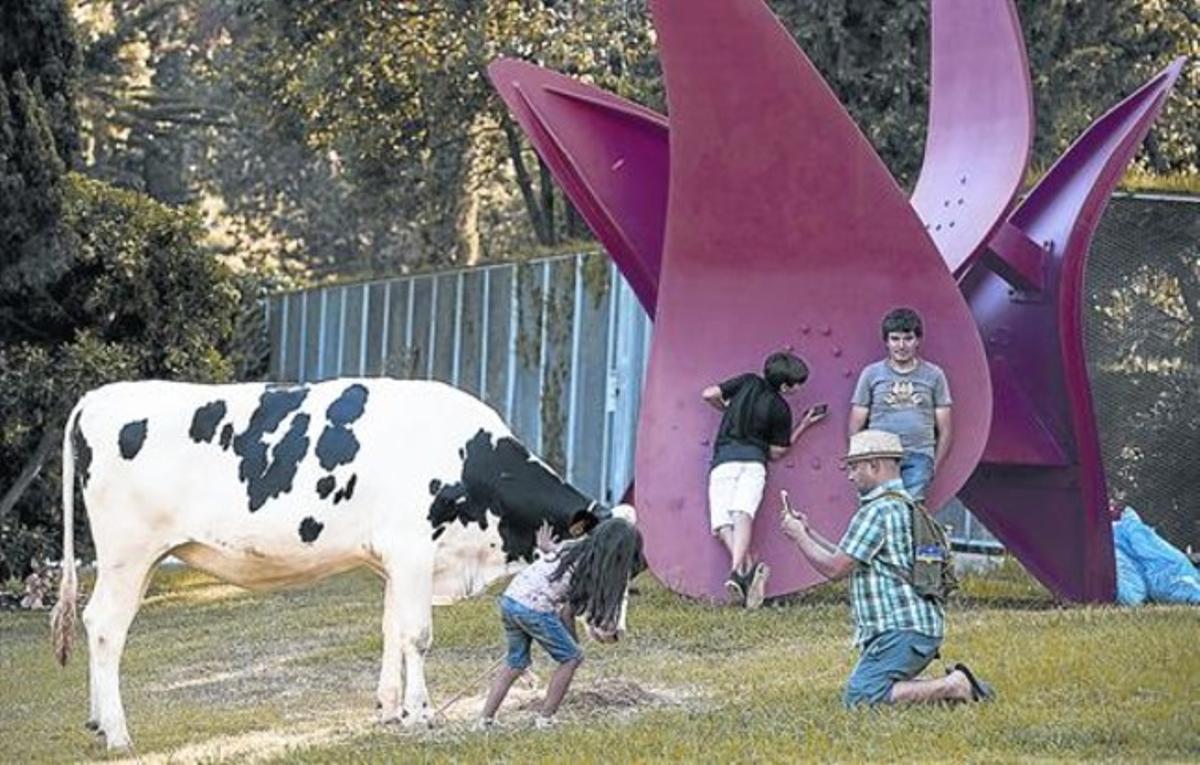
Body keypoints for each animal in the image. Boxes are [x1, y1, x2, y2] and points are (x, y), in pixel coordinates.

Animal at [51, 381, 633, 753]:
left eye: (633, 567)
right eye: (605, 565)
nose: (614, 631)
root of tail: (98, 395)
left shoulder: (392, 560)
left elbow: (392, 630)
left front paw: (391, 708)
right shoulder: (412, 549)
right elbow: (418, 635)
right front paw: (422, 714)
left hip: (141, 559)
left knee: (95, 623)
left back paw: (98, 721)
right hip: (128, 554)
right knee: (105, 627)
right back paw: (119, 734)